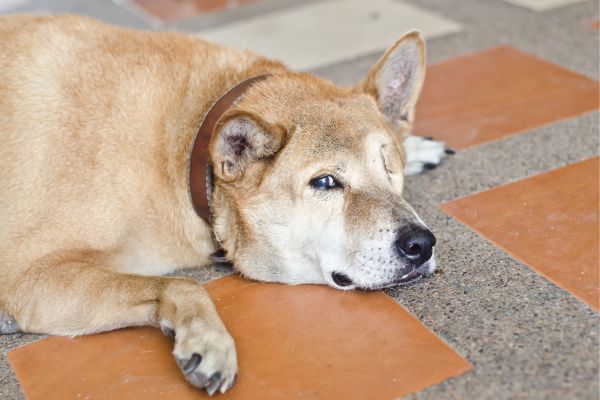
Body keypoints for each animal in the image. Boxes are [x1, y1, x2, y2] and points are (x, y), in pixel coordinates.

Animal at [0, 14, 448, 394]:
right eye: (324, 182)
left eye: (389, 167)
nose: (420, 244)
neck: (186, 154)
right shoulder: (33, 279)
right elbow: (182, 284)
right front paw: (208, 338)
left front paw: (417, 146)